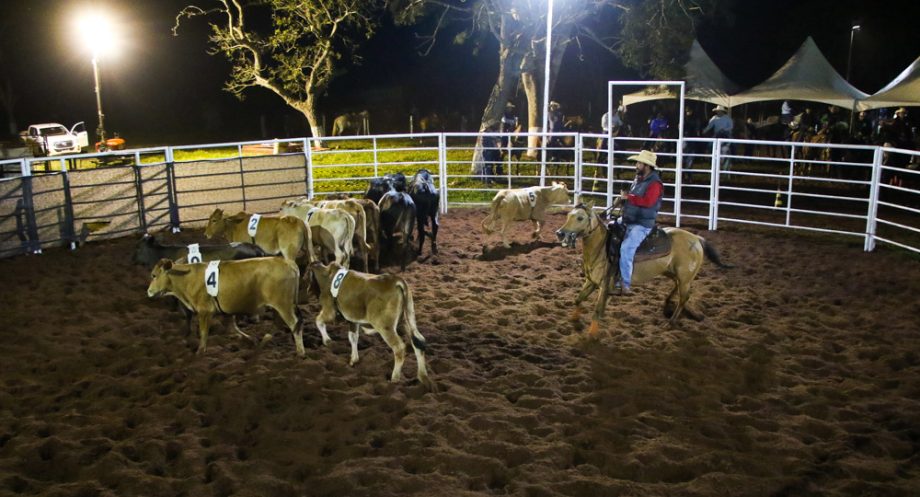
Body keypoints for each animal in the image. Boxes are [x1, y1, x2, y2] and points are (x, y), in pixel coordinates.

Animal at [146, 256, 306, 356]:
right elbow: (233, 328)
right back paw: (264, 341)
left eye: (154, 275)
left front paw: (200, 352)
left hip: (283, 304)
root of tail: (290, 264)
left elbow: (204, 332)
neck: (187, 278)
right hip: (280, 306)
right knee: (281, 324)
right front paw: (251, 340)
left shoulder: (204, 311)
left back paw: (300, 352)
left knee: (294, 324)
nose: (149, 292)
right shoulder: (226, 312)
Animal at [310, 260, 438, 392]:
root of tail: (395, 280)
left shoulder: (329, 310)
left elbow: (318, 320)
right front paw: (353, 359)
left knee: (399, 347)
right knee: (418, 342)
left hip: (385, 326)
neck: (326, 275)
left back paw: (395, 378)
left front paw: (327, 340)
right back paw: (423, 378)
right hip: (407, 319)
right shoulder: (353, 320)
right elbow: (353, 337)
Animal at [552, 203, 732, 336]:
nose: (560, 233)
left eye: (580, 218)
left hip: (685, 278)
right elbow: (578, 299)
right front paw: (575, 320)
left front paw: (592, 335)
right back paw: (667, 304)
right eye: (568, 216)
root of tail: (696, 238)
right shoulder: (591, 281)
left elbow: (597, 310)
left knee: (684, 298)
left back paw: (670, 322)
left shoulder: (604, 285)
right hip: (673, 273)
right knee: (677, 288)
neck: (602, 248)